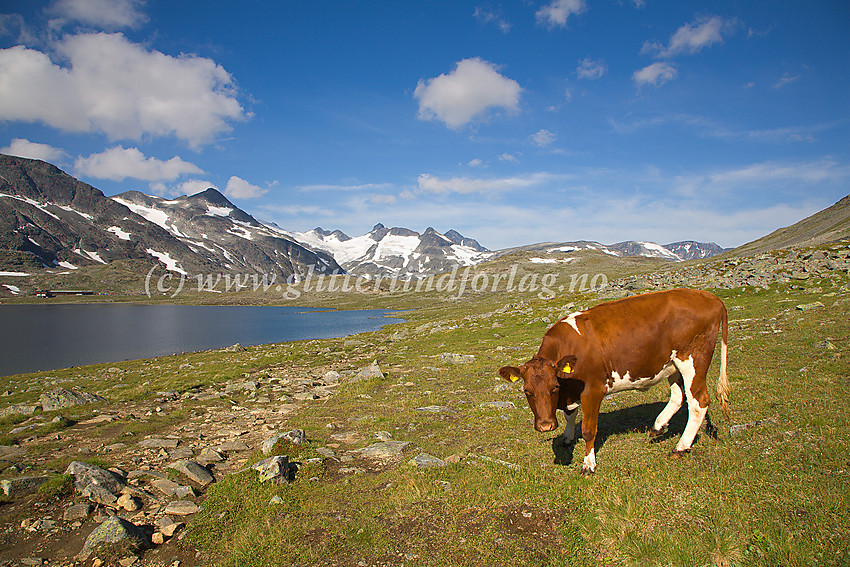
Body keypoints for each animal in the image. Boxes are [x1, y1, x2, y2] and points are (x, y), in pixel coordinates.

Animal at [496, 288, 728, 474]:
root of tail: (710, 297)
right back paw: (658, 427)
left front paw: (588, 465)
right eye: (527, 391)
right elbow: (570, 416)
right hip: (671, 364)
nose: (545, 425)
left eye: (554, 387)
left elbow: (589, 430)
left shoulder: (592, 391)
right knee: (679, 396)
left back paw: (680, 447)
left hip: (692, 359)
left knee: (699, 402)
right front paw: (567, 438)